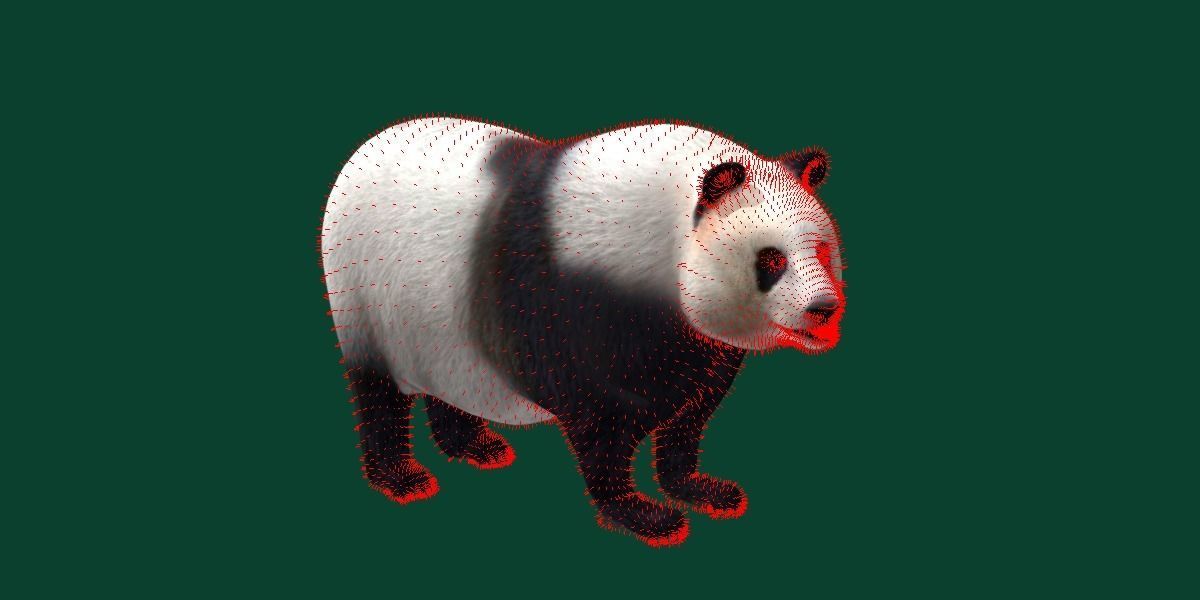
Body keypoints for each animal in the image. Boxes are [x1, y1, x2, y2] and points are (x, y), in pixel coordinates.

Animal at [320, 116, 845, 546]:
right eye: (772, 259)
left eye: (821, 250)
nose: (823, 309)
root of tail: (361, 152)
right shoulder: (578, 300)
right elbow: (599, 417)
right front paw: (644, 515)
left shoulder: (698, 343)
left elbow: (691, 411)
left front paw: (700, 488)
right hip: (367, 293)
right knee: (378, 392)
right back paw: (403, 477)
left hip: (436, 321)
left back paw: (476, 446)